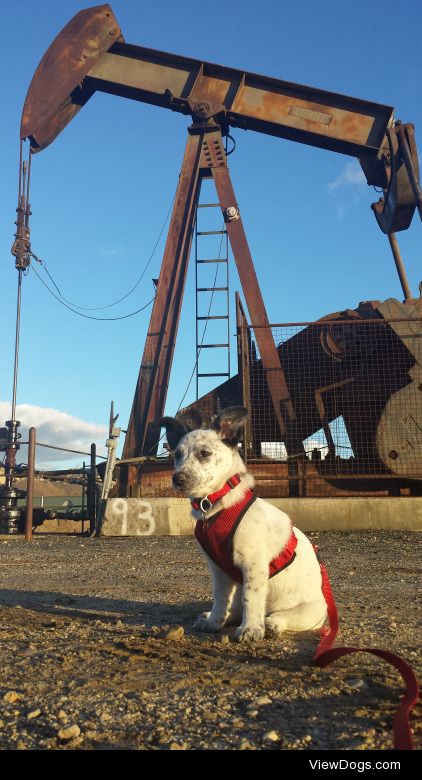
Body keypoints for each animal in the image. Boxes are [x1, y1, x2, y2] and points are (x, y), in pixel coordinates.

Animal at [162, 406, 326, 644]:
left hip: (310, 612)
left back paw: (270, 624)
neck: (217, 506)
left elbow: (251, 599)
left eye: (204, 453)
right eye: (177, 454)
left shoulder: (253, 566)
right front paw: (215, 622)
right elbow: (220, 598)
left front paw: (250, 629)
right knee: (235, 608)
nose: (177, 479)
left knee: (277, 616)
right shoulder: (218, 569)